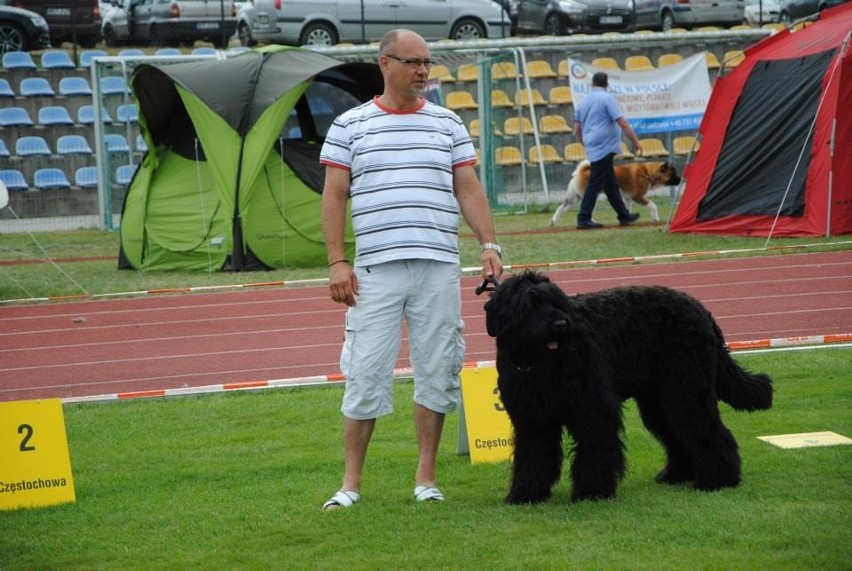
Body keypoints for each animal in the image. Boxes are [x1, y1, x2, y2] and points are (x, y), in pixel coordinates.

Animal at [482, 270, 776, 502]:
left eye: (557, 300)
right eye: (529, 304)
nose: (560, 324)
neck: (538, 363)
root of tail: (701, 310)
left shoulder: (593, 410)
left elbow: (595, 449)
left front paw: (592, 491)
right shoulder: (532, 419)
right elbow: (533, 456)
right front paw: (526, 493)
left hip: (687, 391)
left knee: (709, 431)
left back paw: (718, 479)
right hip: (659, 402)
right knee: (677, 435)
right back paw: (676, 474)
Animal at [552, 160, 680, 227]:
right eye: (673, 173)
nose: (680, 179)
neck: (647, 172)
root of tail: (581, 171)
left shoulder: (628, 198)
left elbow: (626, 208)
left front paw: (626, 219)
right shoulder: (637, 196)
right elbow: (653, 205)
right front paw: (656, 218)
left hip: (574, 198)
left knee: (561, 208)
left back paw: (554, 221)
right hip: (592, 196)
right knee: (586, 209)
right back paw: (592, 223)